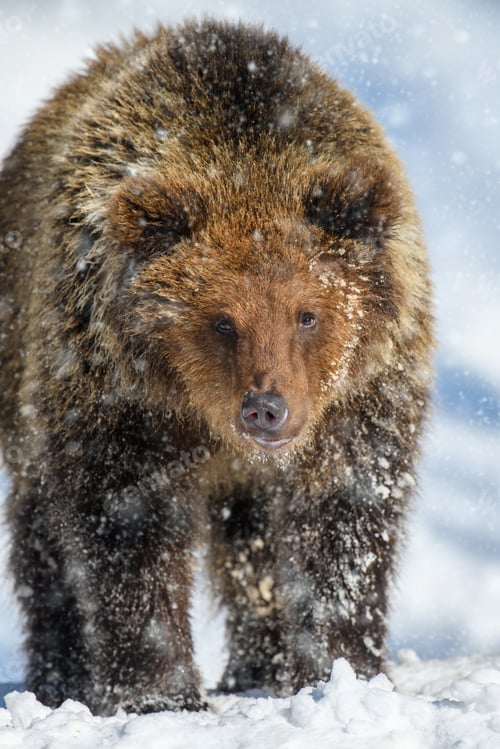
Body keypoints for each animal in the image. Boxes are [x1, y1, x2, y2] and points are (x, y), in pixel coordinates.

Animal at [0, 19, 433, 715]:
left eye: (307, 313)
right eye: (221, 320)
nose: (266, 408)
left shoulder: (363, 398)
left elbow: (344, 521)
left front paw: (343, 670)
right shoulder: (120, 397)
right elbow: (127, 527)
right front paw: (158, 691)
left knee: (251, 542)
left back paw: (260, 665)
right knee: (42, 529)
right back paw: (59, 674)